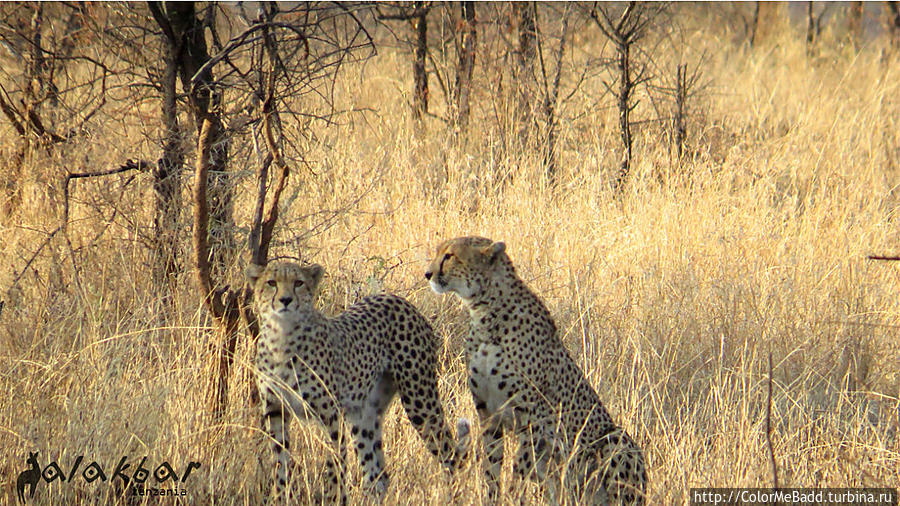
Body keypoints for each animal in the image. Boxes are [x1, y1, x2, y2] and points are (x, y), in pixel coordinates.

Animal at [248, 260, 472, 502]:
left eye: (298, 283)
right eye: (271, 282)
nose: (286, 300)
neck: (282, 336)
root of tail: (399, 300)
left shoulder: (330, 415)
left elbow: (334, 466)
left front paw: (335, 499)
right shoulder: (275, 411)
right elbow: (280, 465)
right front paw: (280, 496)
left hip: (420, 402)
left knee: (452, 456)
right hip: (364, 414)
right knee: (377, 476)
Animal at [424, 238, 648, 506]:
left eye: (450, 256)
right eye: (438, 252)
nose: (428, 274)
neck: (485, 312)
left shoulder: (533, 418)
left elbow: (519, 468)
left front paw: (513, 498)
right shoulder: (488, 414)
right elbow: (492, 467)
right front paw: (493, 497)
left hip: (616, 439)